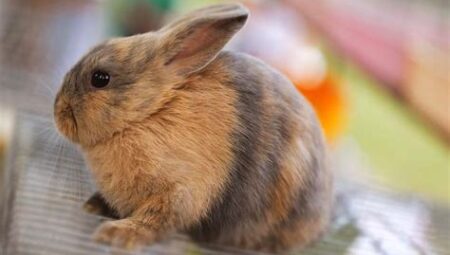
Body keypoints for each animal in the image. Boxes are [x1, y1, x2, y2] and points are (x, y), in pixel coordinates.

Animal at [54, 3, 332, 253]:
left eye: (100, 78)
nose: (58, 111)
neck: (151, 111)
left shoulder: (180, 192)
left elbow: (155, 219)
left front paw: (116, 234)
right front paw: (92, 206)